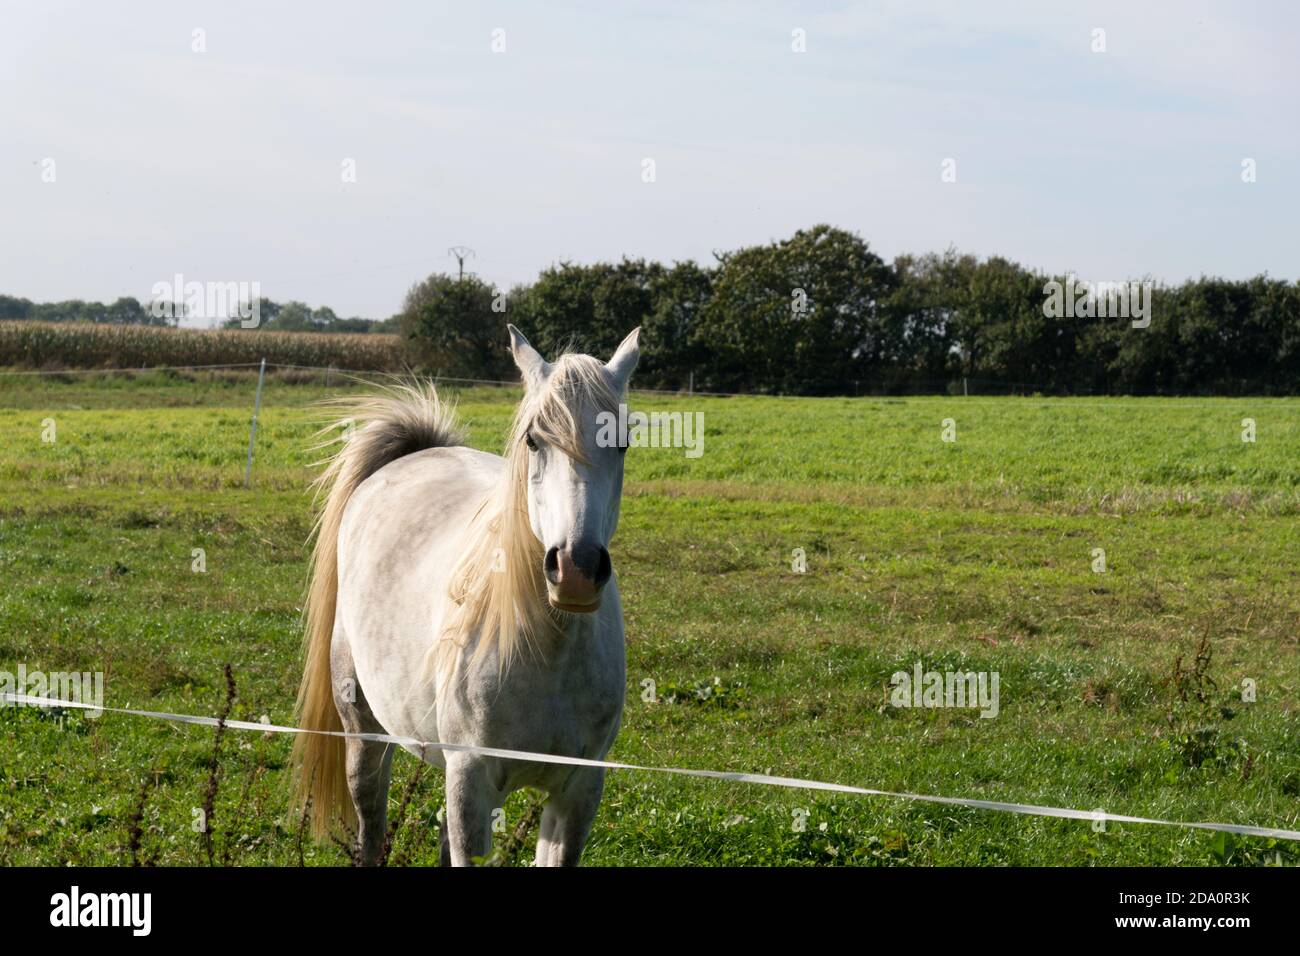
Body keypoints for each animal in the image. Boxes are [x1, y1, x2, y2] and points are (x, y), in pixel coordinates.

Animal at [291, 325, 640, 866]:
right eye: (533, 440)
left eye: (621, 442)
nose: (576, 569)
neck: (549, 650)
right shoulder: (471, 781)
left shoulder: (577, 791)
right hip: (364, 731)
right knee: (370, 822)